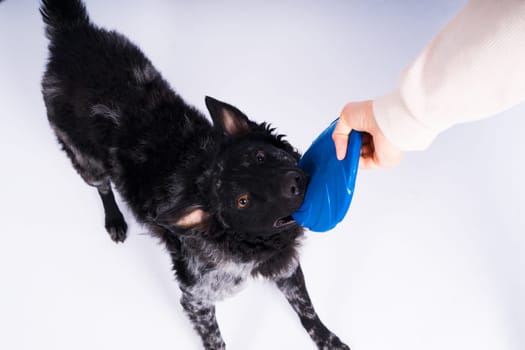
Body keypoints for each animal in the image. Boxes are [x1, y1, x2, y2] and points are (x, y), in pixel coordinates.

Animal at [37, 1, 348, 348]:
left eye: (259, 156)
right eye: (242, 201)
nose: (295, 183)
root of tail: (71, 33)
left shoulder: (283, 262)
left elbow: (306, 308)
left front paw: (328, 339)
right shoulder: (196, 298)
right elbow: (215, 339)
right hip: (86, 161)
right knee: (103, 187)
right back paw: (114, 220)